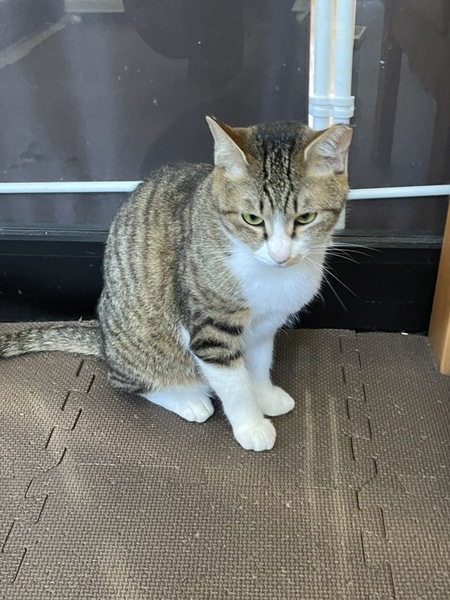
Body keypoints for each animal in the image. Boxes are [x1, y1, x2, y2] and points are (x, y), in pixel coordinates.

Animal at [0, 117, 352, 451]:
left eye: (305, 218)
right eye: (252, 219)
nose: (280, 254)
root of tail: (103, 343)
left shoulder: (265, 327)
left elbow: (259, 365)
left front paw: (264, 395)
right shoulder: (210, 328)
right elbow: (235, 384)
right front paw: (251, 426)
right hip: (141, 344)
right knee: (129, 382)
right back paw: (187, 400)